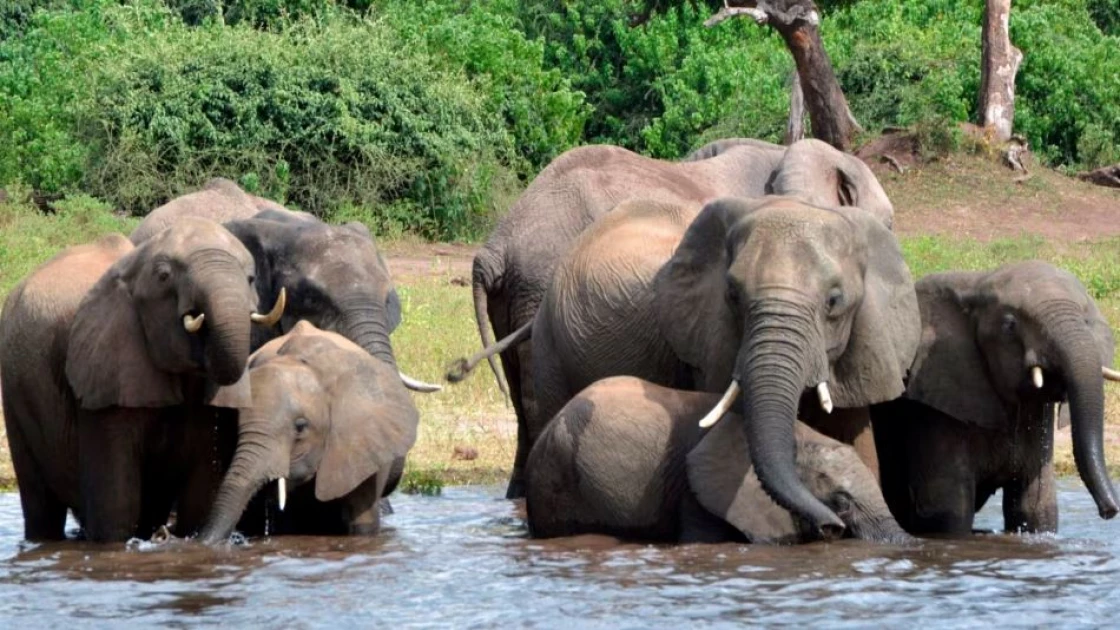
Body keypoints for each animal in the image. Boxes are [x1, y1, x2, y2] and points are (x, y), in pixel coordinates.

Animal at [0, 218, 286, 542]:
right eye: (164, 276)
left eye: (250, 279)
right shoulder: (104, 370)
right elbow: (116, 507)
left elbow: (200, 498)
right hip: (14, 390)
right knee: (41, 507)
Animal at [870, 260, 1120, 535]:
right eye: (1010, 326)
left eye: (1086, 321)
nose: (1109, 512)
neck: (977, 282)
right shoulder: (933, 406)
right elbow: (948, 511)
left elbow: (1035, 508)